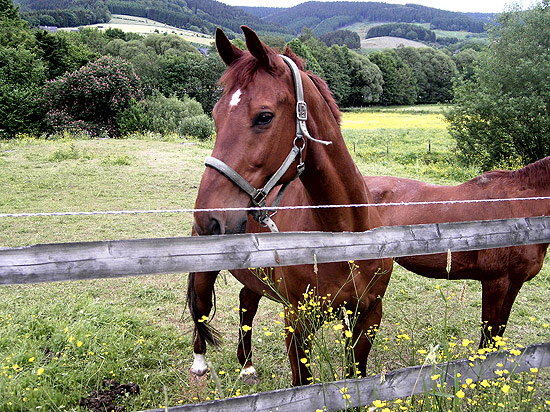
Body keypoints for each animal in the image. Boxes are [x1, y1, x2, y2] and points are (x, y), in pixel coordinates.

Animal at [190, 26, 392, 386]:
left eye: (264, 117)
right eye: (215, 116)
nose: (208, 221)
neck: (343, 234)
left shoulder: (368, 315)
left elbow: (356, 373)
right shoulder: (298, 322)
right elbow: (303, 384)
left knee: (246, 303)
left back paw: (247, 365)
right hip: (204, 272)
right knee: (200, 307)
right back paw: (200, 363)